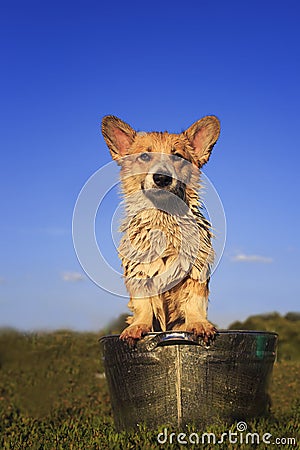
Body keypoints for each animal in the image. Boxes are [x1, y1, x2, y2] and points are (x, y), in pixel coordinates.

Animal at [101, 115, 220, 344]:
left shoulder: (195, 269)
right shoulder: (140, 274)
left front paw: (199, 324)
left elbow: (194, 302)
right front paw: (138, 327)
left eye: (178, 156)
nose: (162, 178)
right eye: (145, 156)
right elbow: (143, 306)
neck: (163, 216)